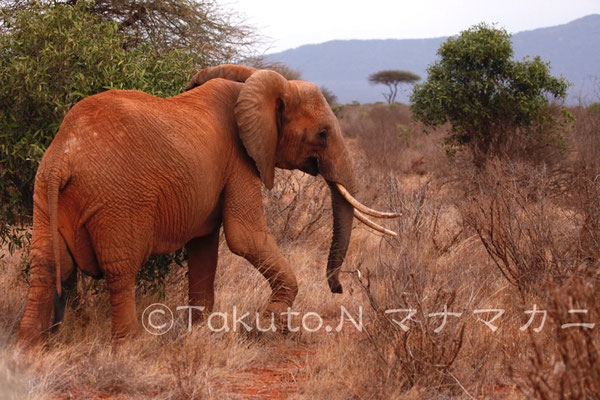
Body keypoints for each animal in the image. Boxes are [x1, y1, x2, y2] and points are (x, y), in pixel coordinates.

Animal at [17, 63, 398, 344]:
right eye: (322, 134)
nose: (339, 288)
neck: (256, 82)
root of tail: (64, 155)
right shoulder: (241, 159)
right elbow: (244, 237)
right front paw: (268, 326)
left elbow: (203, 244)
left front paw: (199, 329)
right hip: (117, 199)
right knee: (120, 269)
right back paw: (128, 345)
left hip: (43, 191)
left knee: (46, 265)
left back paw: (30, 346)